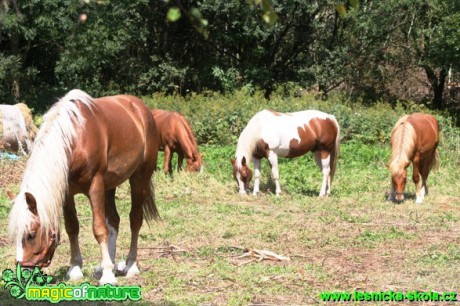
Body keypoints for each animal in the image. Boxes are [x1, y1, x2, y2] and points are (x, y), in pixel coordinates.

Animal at [7, 89, 160, 286]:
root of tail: (142, 109)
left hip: (139, 178)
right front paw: (76, 269)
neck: (74, 140)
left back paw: (130, 266)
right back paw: (106, 265)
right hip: (110, 185)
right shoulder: (67, 193)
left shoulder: (95, 187)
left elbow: (99, 229)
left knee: (135, 219)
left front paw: (108, 275)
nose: (23, 273)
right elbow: (72, 227)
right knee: (114, 221)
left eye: (31, 234)